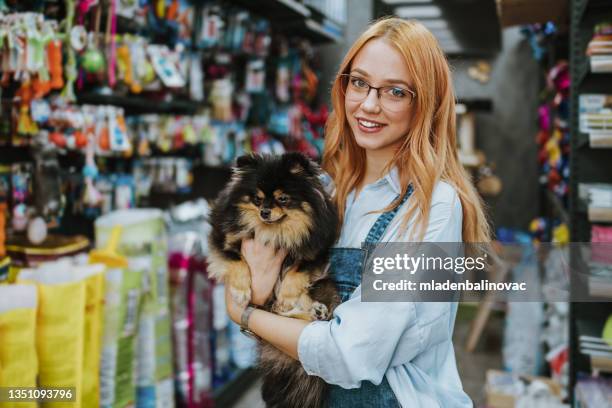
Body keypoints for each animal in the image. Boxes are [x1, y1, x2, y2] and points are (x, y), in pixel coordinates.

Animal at [208, 153, 342, 408]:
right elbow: (237, 261)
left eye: (282, 198)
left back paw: (316, 310)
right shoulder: (222, 240)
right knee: (279, 313)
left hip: (327, 285)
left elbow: (296, 270)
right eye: (257, 199)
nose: (264, 212)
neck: (276, 231)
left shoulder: (315, 252)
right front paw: (240, 291)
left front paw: (288, 294)